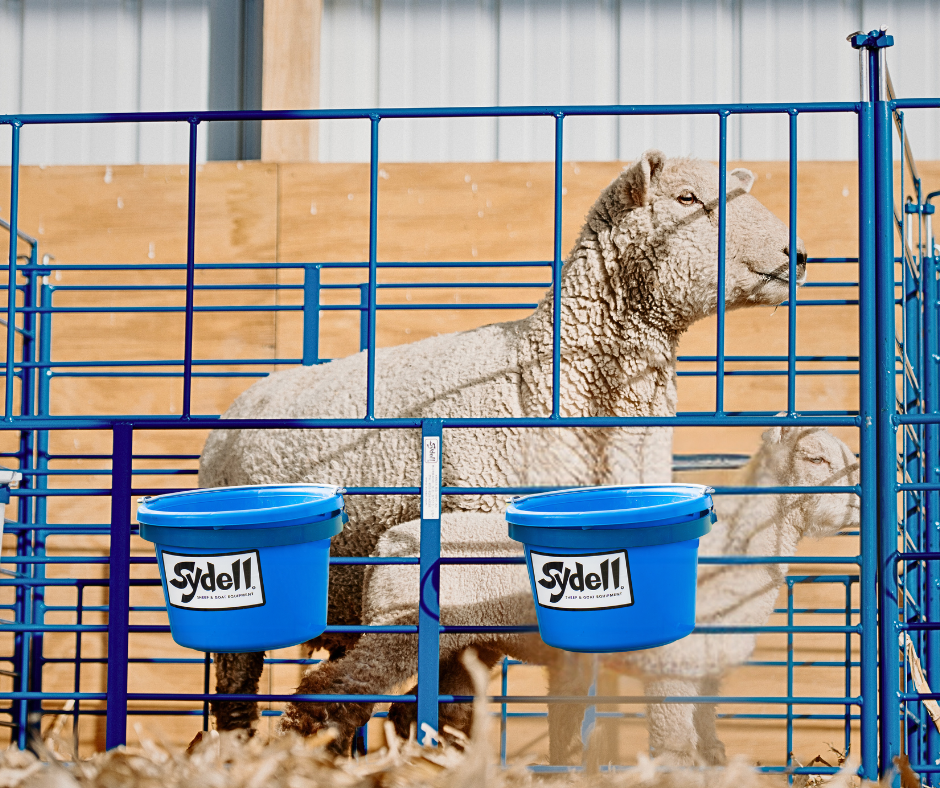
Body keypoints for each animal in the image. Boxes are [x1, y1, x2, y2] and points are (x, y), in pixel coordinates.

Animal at [333, 423, 859, 764]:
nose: (856, 504)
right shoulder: (672, 664)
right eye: (815, 459)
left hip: (464, 645)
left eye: (852, 460)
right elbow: (672, 743)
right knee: (348, 685)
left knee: (415, 709)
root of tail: (386, 542)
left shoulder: (707, 667)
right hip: (399, 627)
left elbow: (706, 731)